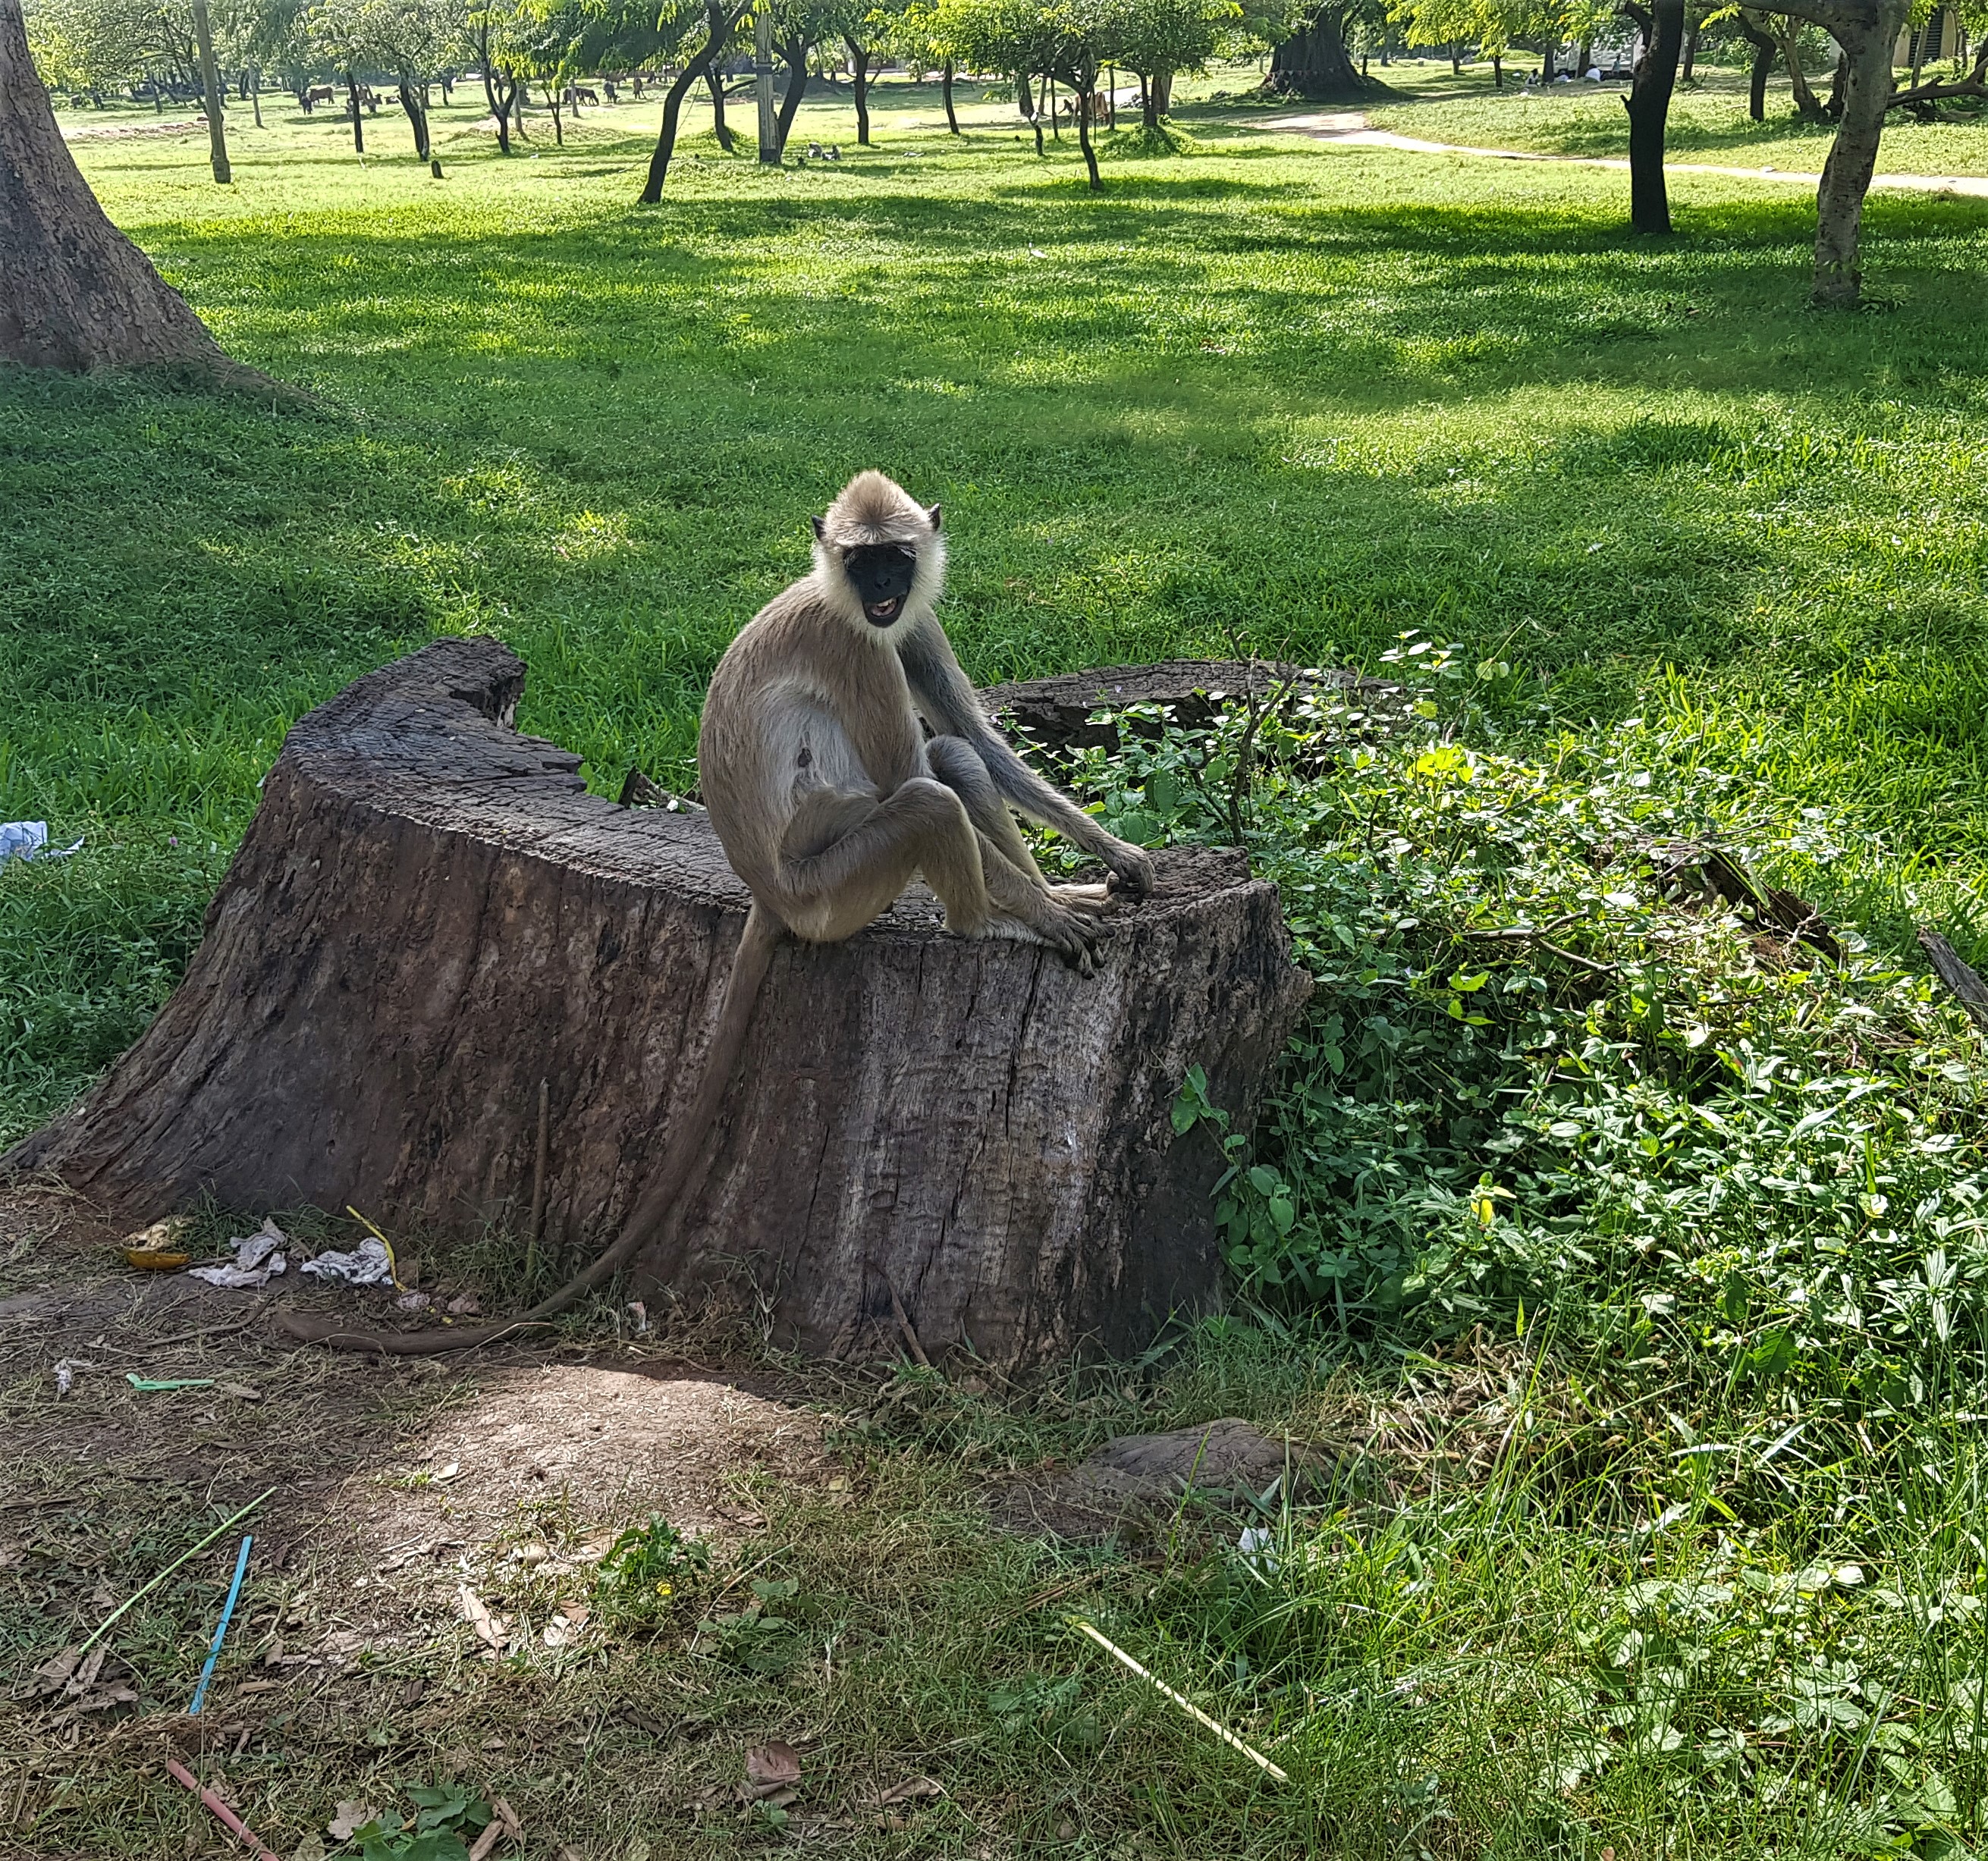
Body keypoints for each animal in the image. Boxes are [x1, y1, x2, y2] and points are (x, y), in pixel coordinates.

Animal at [280, 472, 1154, 1356]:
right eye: (861, 560)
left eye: (896, 559)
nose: (880, 587)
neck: (839, 601)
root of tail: (766, 892)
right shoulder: (855, 648)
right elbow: (913, 767)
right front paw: (1044, 914)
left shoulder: (903, 628)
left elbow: (976, 736)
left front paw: (1102, 862)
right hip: (831, 884)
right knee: (926, 795)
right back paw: (987, 922)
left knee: (953, 761)